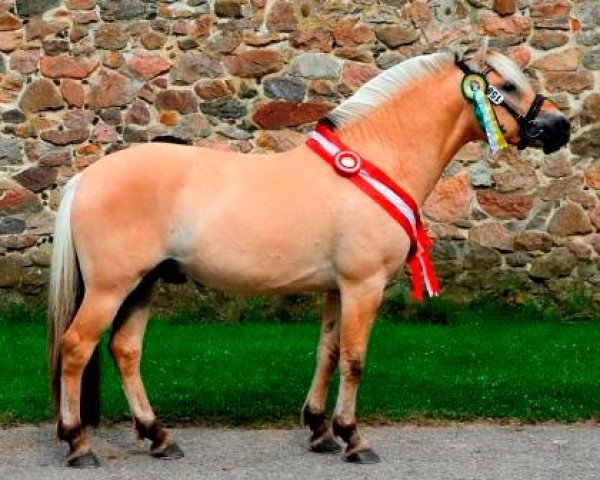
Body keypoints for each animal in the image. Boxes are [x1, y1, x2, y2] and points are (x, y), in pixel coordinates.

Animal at [49, 50, 568, 466]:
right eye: (506, 86)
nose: (559, 128)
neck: (377, 158)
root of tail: (87, 177)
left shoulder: (338, 289)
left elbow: (328, 353)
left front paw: (321, 431)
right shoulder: (364, 285)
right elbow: (354, 360)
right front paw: (354, 439)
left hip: (144, 283)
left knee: (125, 349)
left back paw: (159, 437)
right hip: (112, 286)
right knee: (76, 347)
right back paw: (78, 444)